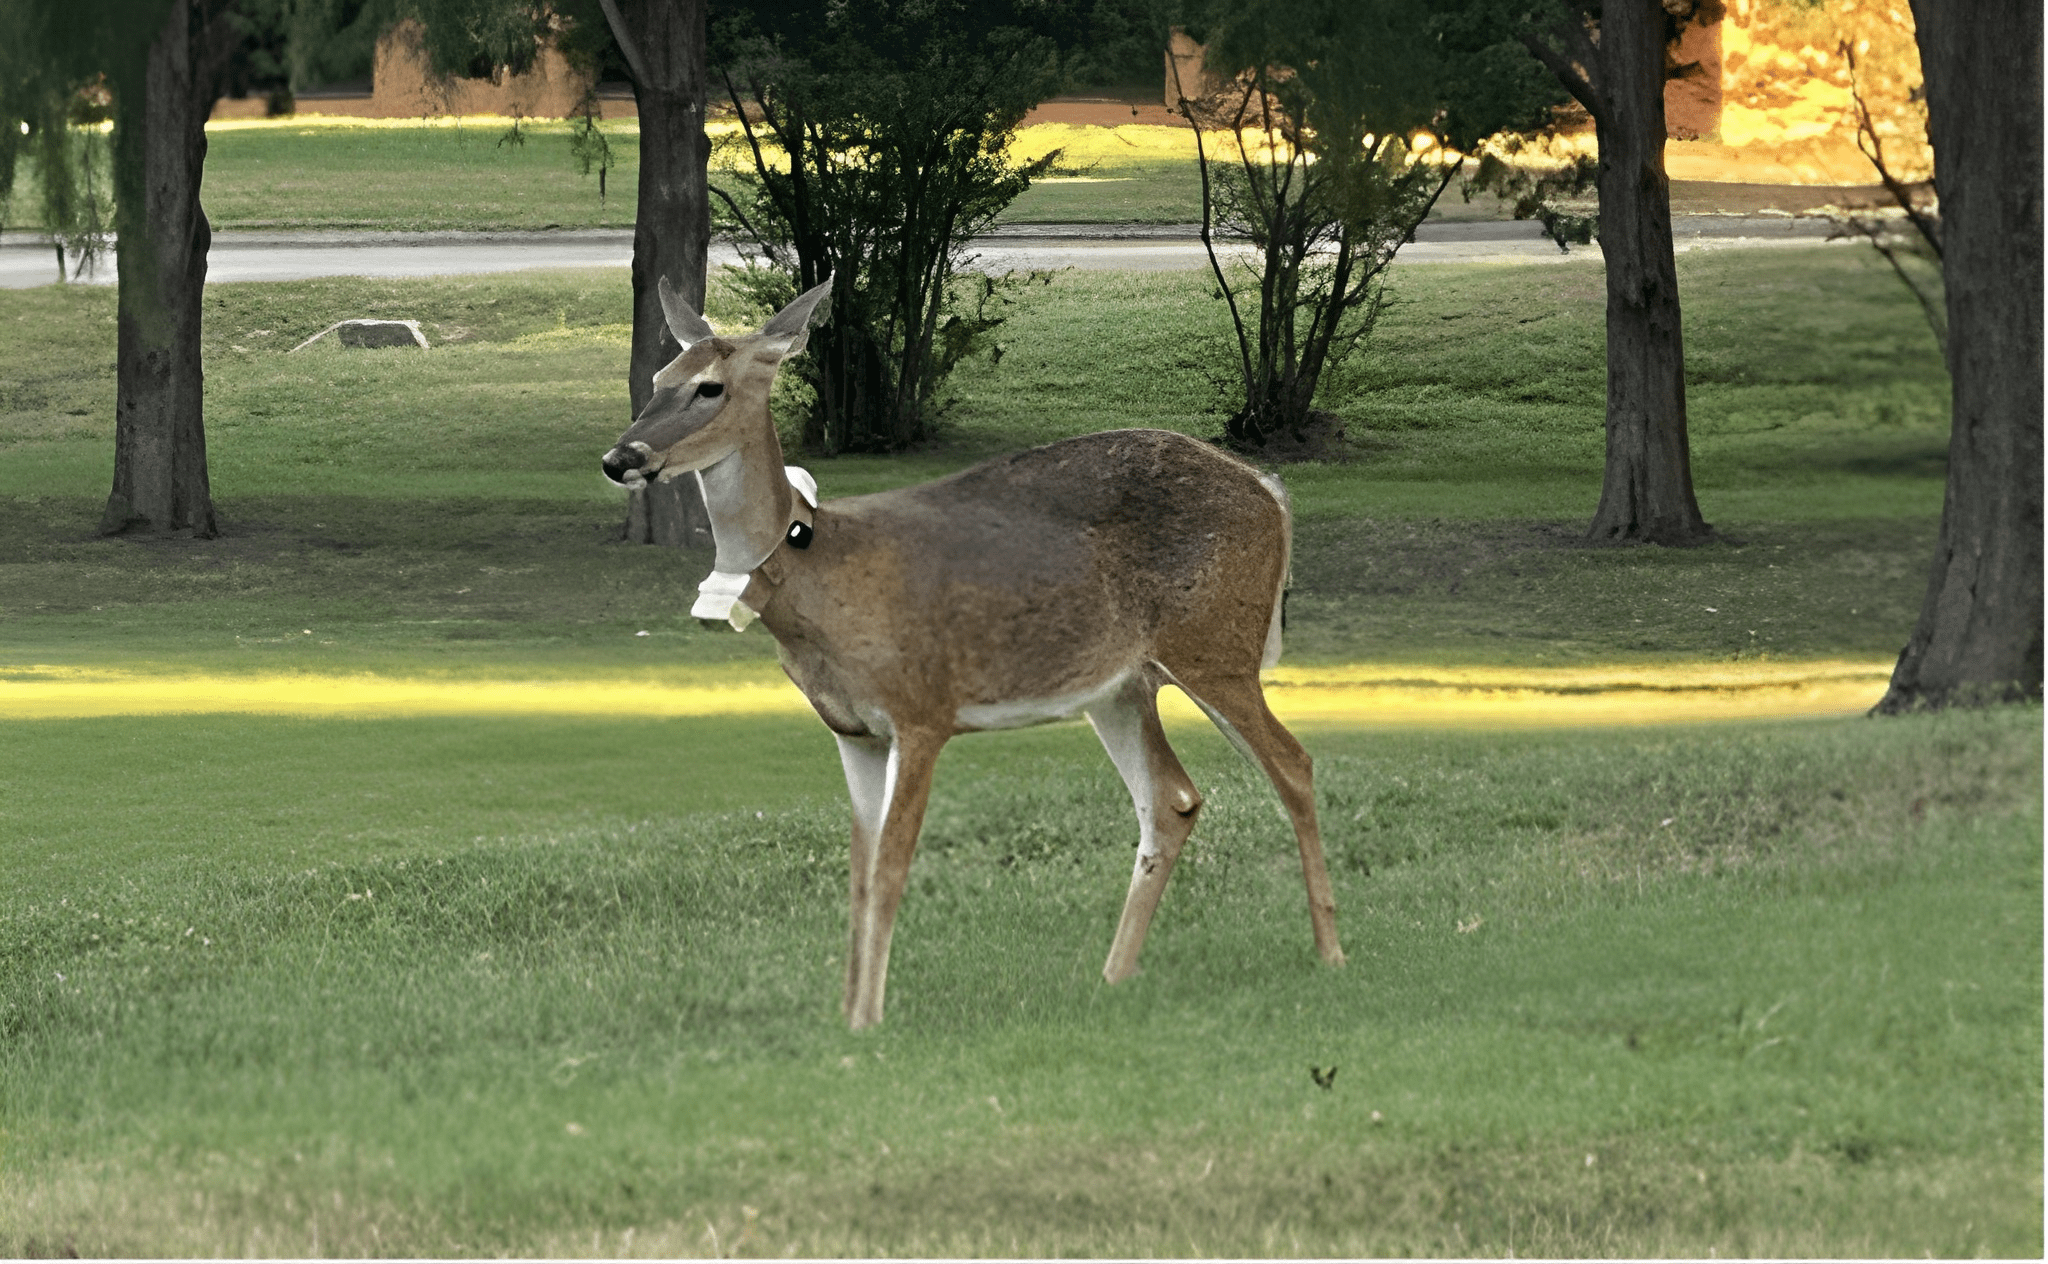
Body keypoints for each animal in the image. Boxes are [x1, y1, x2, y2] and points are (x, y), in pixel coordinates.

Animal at [599, 277, 1344, 1029]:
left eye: (710, 388)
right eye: (658, 379)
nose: (620, 459)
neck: (819, 579)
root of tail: (1272, 490)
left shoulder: (922, 709)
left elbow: (891, 868)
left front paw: (868, 1023)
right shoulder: (852, 731)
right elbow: (858, 876)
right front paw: (846, 1014)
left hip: (1216, 645)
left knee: (1292, 763)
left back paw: (1330, 952)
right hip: (1119, 686)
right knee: (1172, 799)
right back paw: (1112, 976)